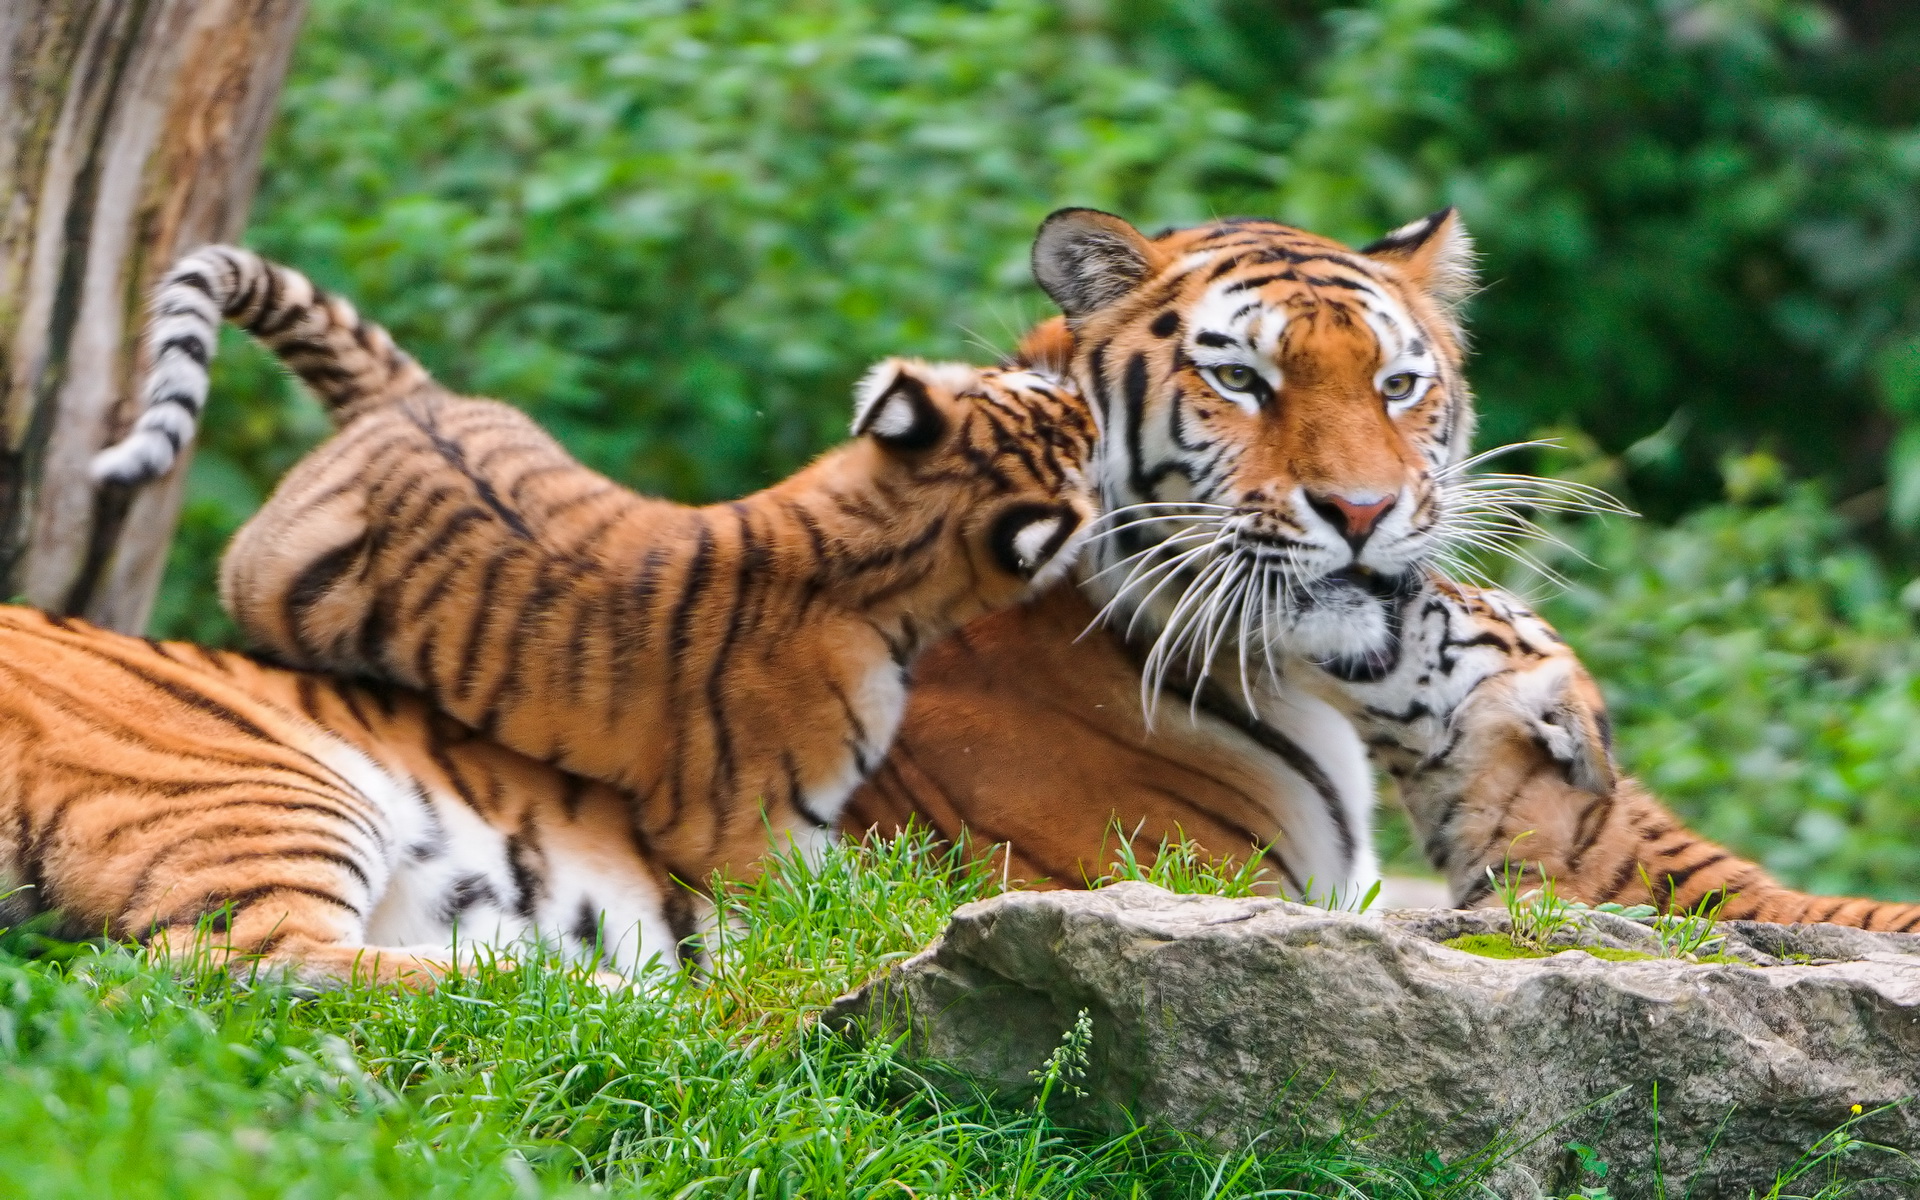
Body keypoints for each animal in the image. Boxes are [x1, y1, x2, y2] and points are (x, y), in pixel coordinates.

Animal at [7, 245, 1105, 983]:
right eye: (1069, 417)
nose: (1070, 364)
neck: (867, 535)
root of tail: (404, 399)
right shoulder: (751, 831)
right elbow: (811, 903)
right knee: (231, 965)